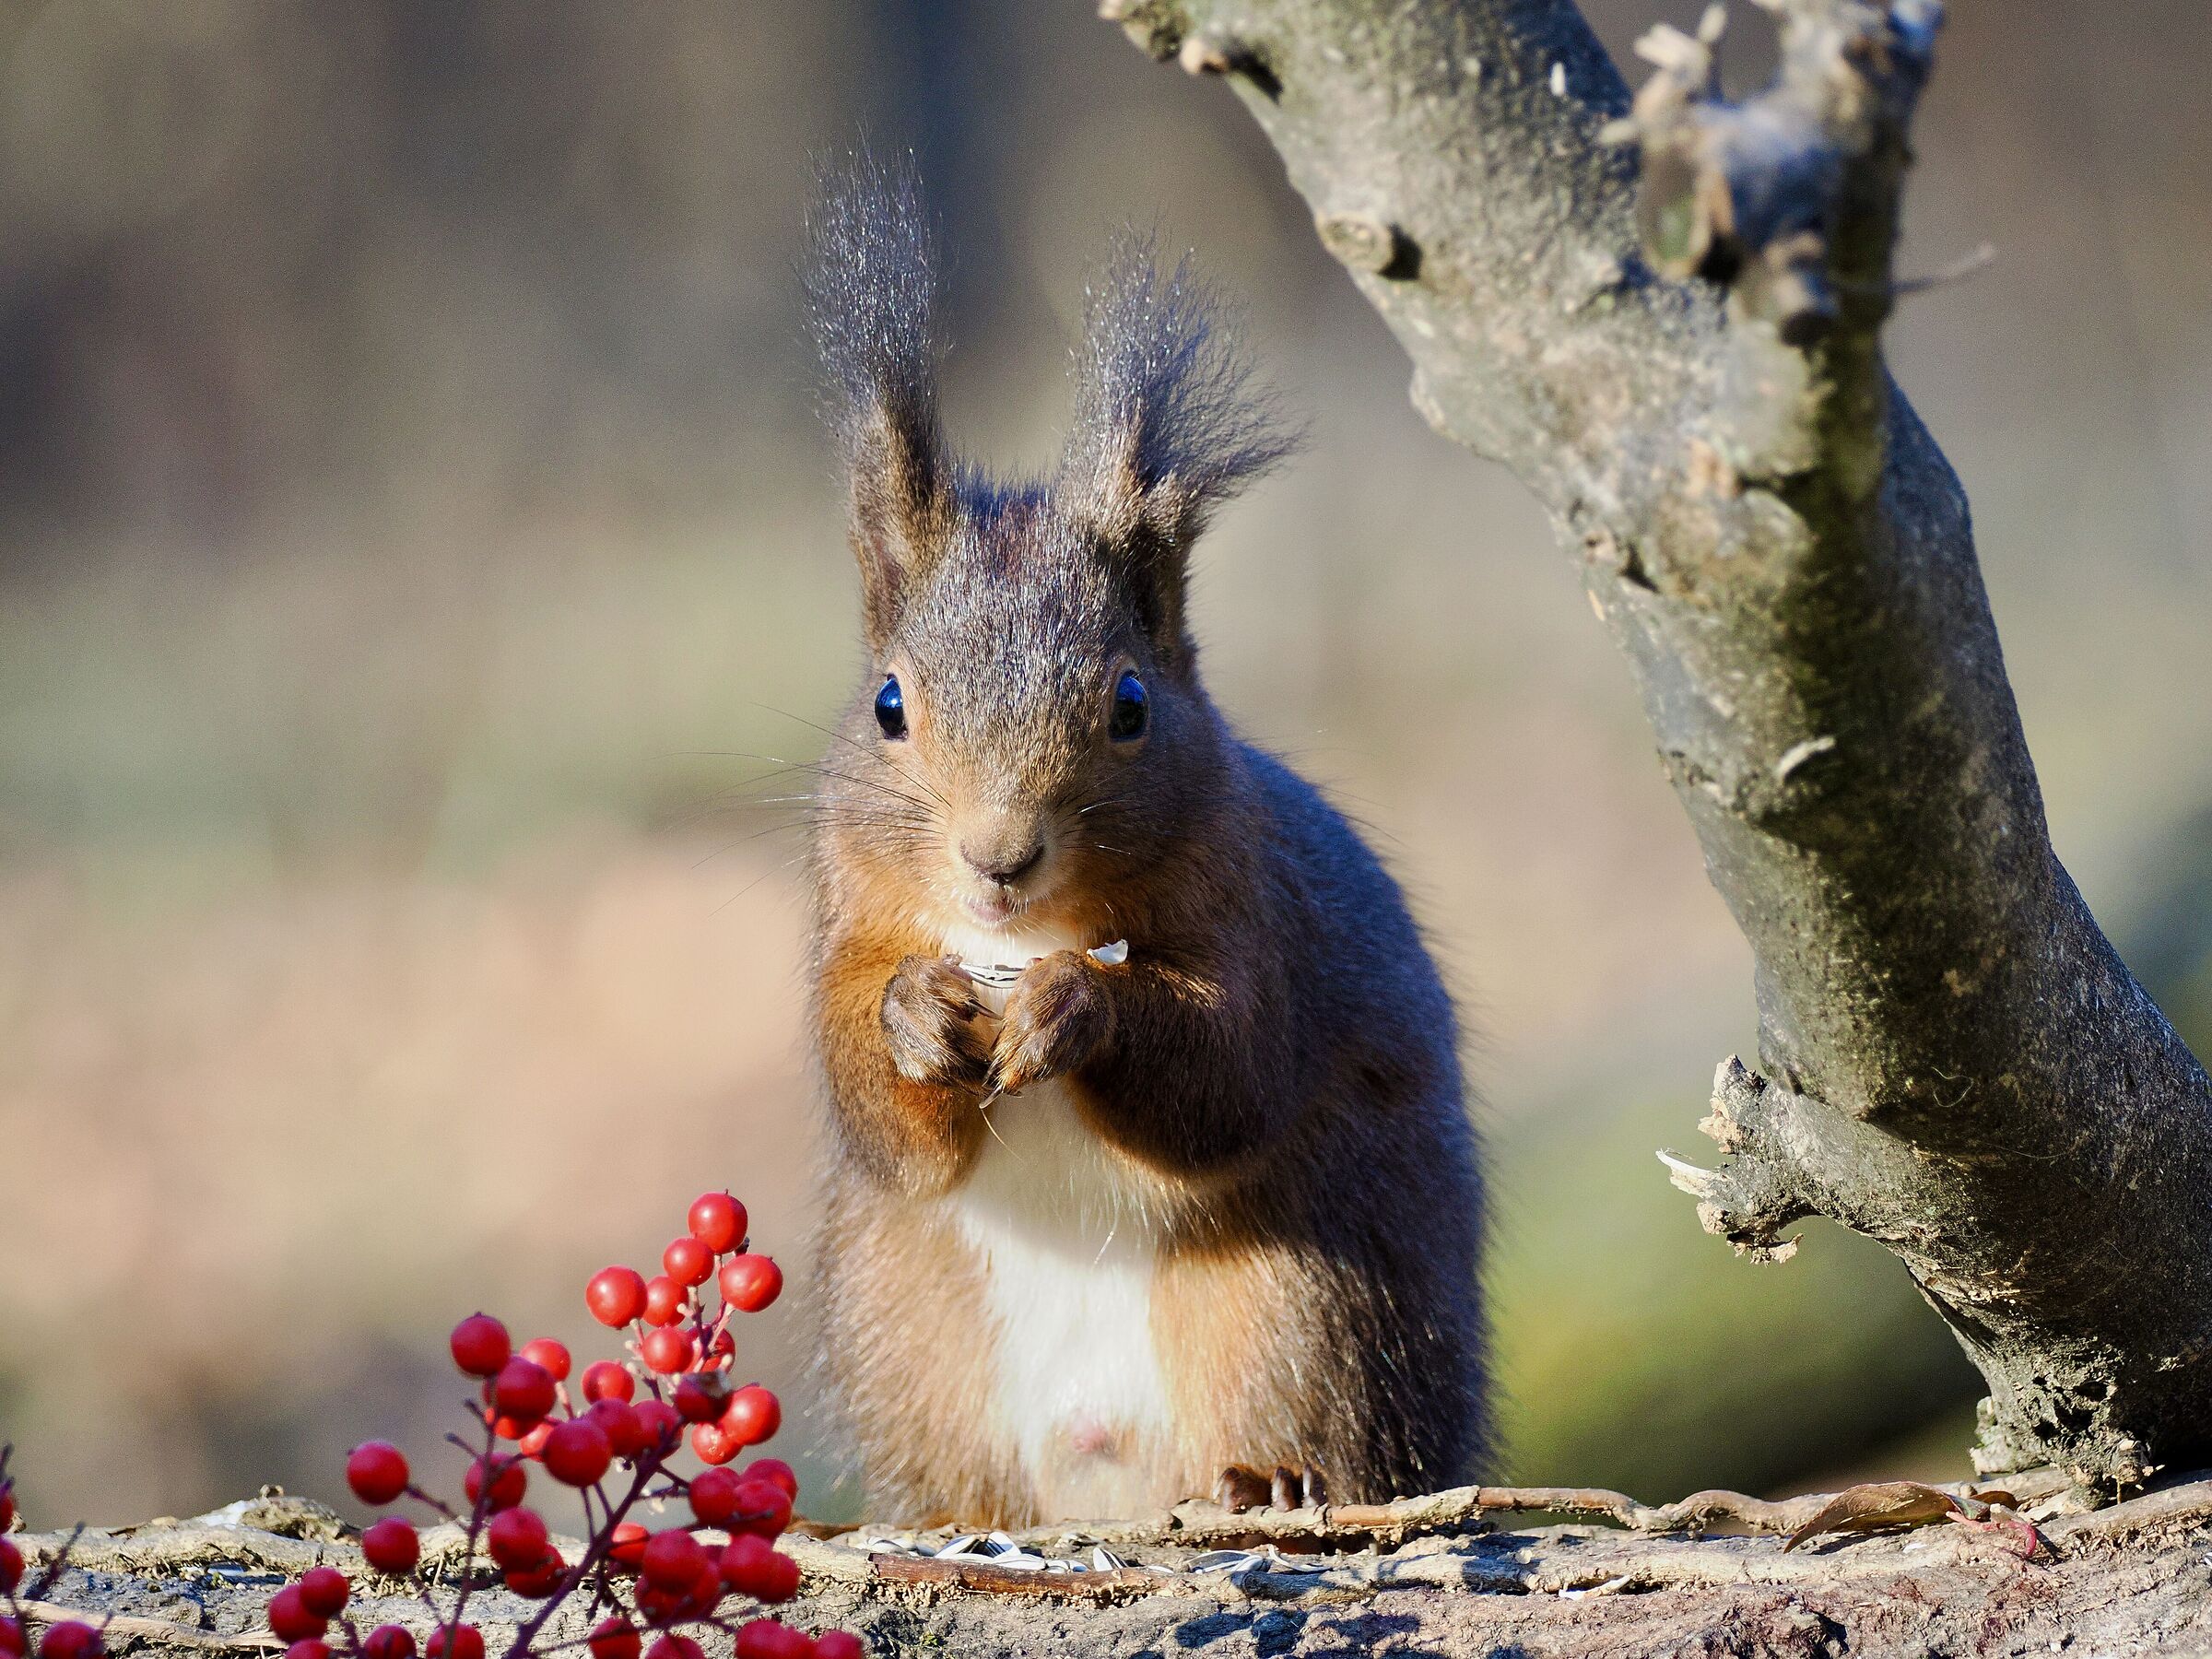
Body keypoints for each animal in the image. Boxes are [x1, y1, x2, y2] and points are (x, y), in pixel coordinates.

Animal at [800, 158, 1487, 1526]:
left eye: (1130, 706)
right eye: (890, 705)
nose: (999, 857)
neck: (1017, 934)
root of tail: (1104, 1481)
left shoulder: (1254, 907)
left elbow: (1228, 1071)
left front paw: (1075, 1008)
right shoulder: (846, 912)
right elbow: (871, 1104)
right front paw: (913, 1012)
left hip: (1299, 1299)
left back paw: (1270, 1481)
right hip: (912, 1332)